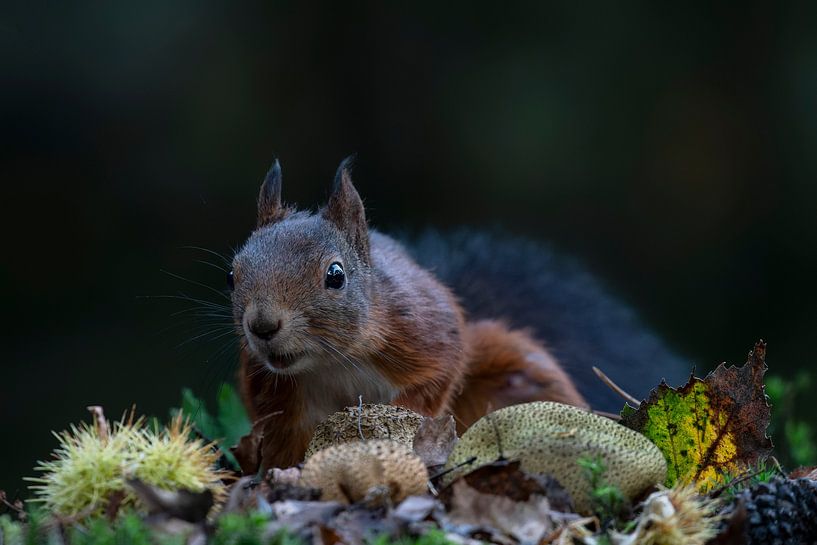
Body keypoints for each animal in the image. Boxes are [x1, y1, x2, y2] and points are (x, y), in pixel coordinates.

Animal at [230, 157, 688, 470]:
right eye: (233, 273)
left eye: (336, 275)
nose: (262, 326)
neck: (332, 361)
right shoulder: (275, 393)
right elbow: (283, 442)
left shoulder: (422, 328)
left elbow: (438, 375)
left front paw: (398, 416)